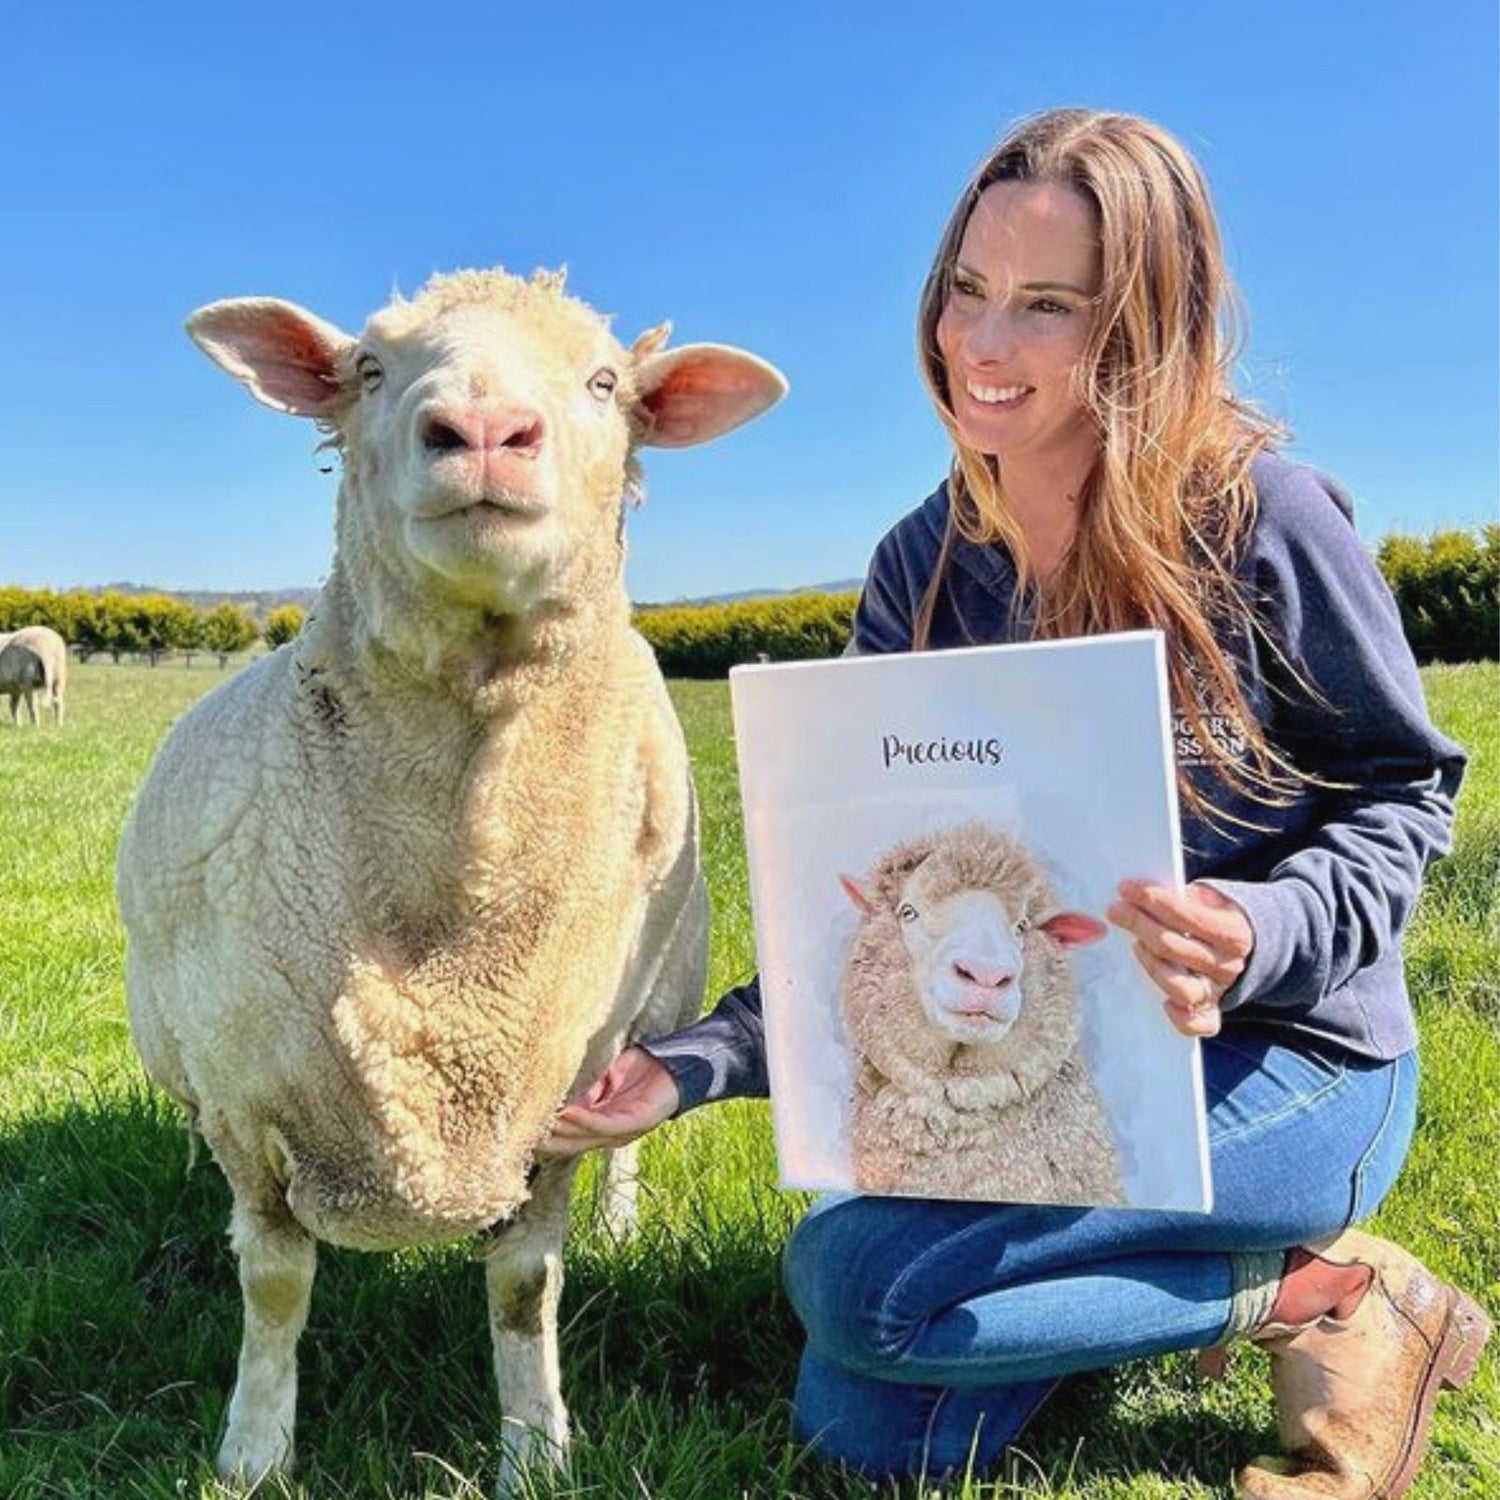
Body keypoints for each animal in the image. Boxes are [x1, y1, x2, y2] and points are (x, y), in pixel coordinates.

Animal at [115, 266, 786, 1494]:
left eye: (605, 381)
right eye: (369, 370)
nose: (481, 430)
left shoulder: (552, 1099)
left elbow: (525, 1286)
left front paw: (536, 1448)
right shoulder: (247, 1101)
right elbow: (272, 1282)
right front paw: (254, 1451)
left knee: (628, 1151)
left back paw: (622, 1225)